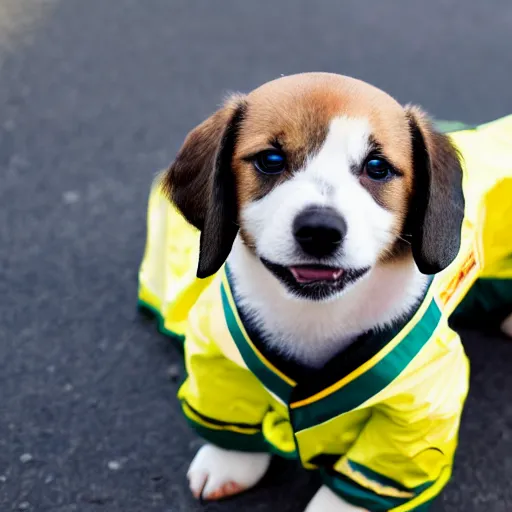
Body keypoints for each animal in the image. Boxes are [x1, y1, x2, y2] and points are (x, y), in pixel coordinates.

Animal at [138, 73, 512, 512]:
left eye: (377, 167)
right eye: (270, 160)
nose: (320, 229)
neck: (316, 315)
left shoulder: (420, 404)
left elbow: (373, 463)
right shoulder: (218, 350)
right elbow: (230, 402)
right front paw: (229, 461)